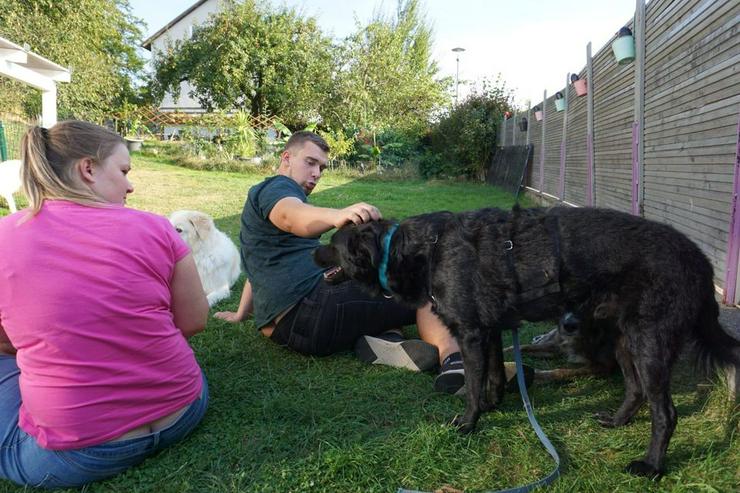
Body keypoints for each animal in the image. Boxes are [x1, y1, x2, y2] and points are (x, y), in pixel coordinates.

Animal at [314, 205, 740, 476]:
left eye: (334, 242)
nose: (314, 252)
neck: (417, 249)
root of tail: (700, 260)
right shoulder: (489, 330)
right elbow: (492, 376)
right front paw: (494, 405)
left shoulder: (470, 333)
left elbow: (473, 384)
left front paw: (468, 422)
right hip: (624, 339)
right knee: (634, 389)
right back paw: (617, 421)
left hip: (649, 343)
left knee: (665, 412)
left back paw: (651, 467)